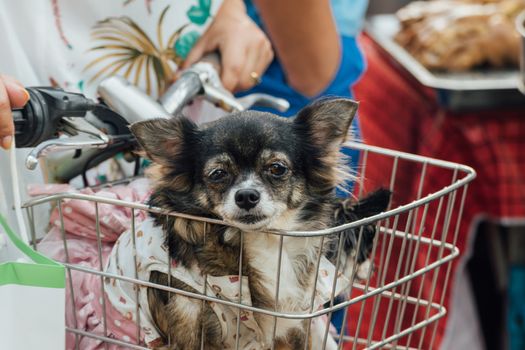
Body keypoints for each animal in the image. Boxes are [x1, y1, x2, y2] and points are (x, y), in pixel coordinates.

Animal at [127, 99, 388, 350]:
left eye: (277, 168)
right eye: (217, 174)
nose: (246, 196)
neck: (266, 240)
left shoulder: (295, 325)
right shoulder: (189, 328)